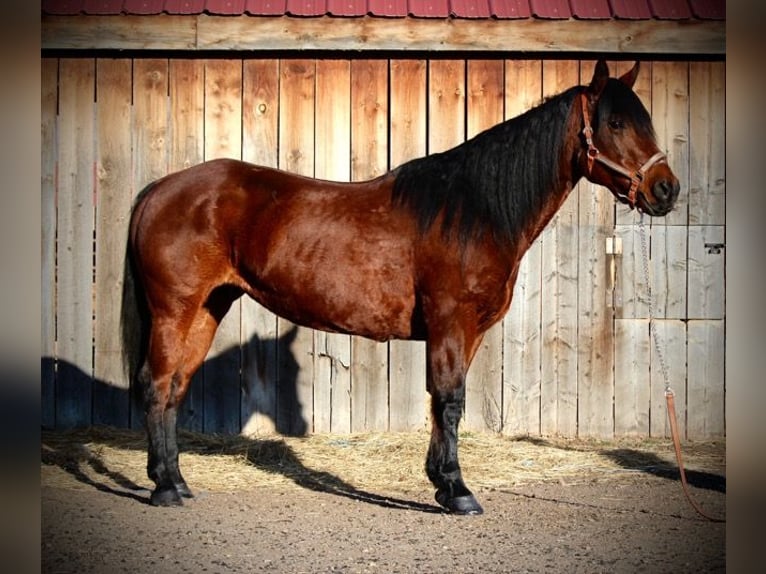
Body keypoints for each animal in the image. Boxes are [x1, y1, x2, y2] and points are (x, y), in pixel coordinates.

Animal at [123, 60, 680, 516]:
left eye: (646, 121)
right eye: (614, 123)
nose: (666, 190)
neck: (471, 211)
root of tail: (160, 189)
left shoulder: (468, 331)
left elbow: (444, 403)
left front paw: (441, 482)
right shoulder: (451, 322)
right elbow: (449, 400)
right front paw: (457, 491)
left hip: (207, 308)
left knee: (175, 387)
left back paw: (177, 481)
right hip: (175, 310)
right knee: (157, 384)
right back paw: (165, 489)